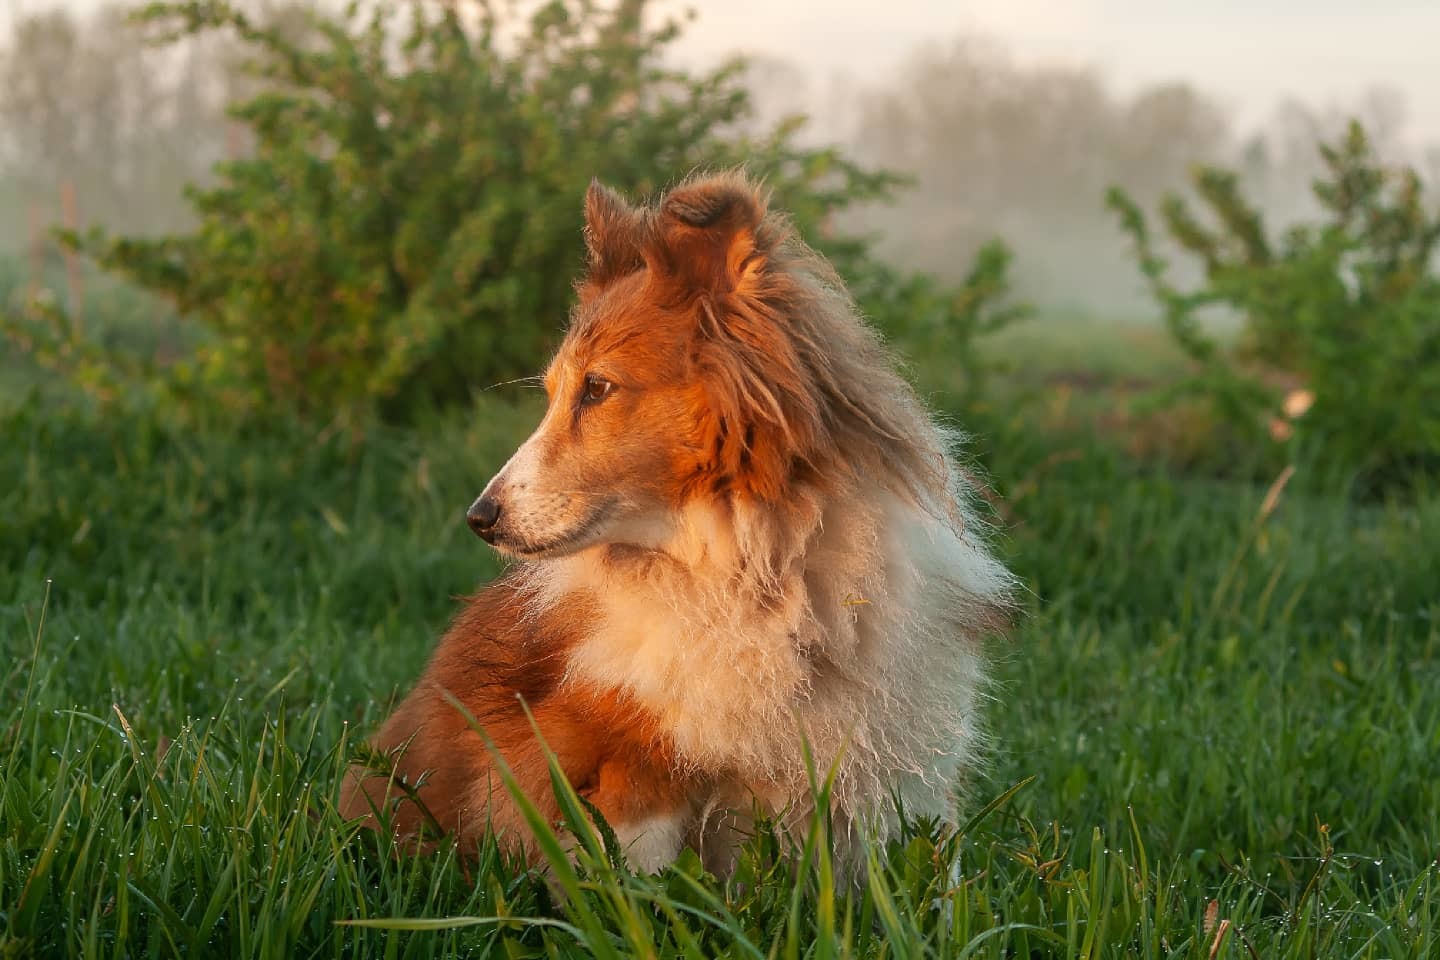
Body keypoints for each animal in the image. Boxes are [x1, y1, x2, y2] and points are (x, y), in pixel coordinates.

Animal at [338, 169, 1019, 875]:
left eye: (597, 388)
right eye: (555, 392)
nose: (480, 518)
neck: (755, 569)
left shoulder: (901, 774)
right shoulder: (623, 768)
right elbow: (637, 879)